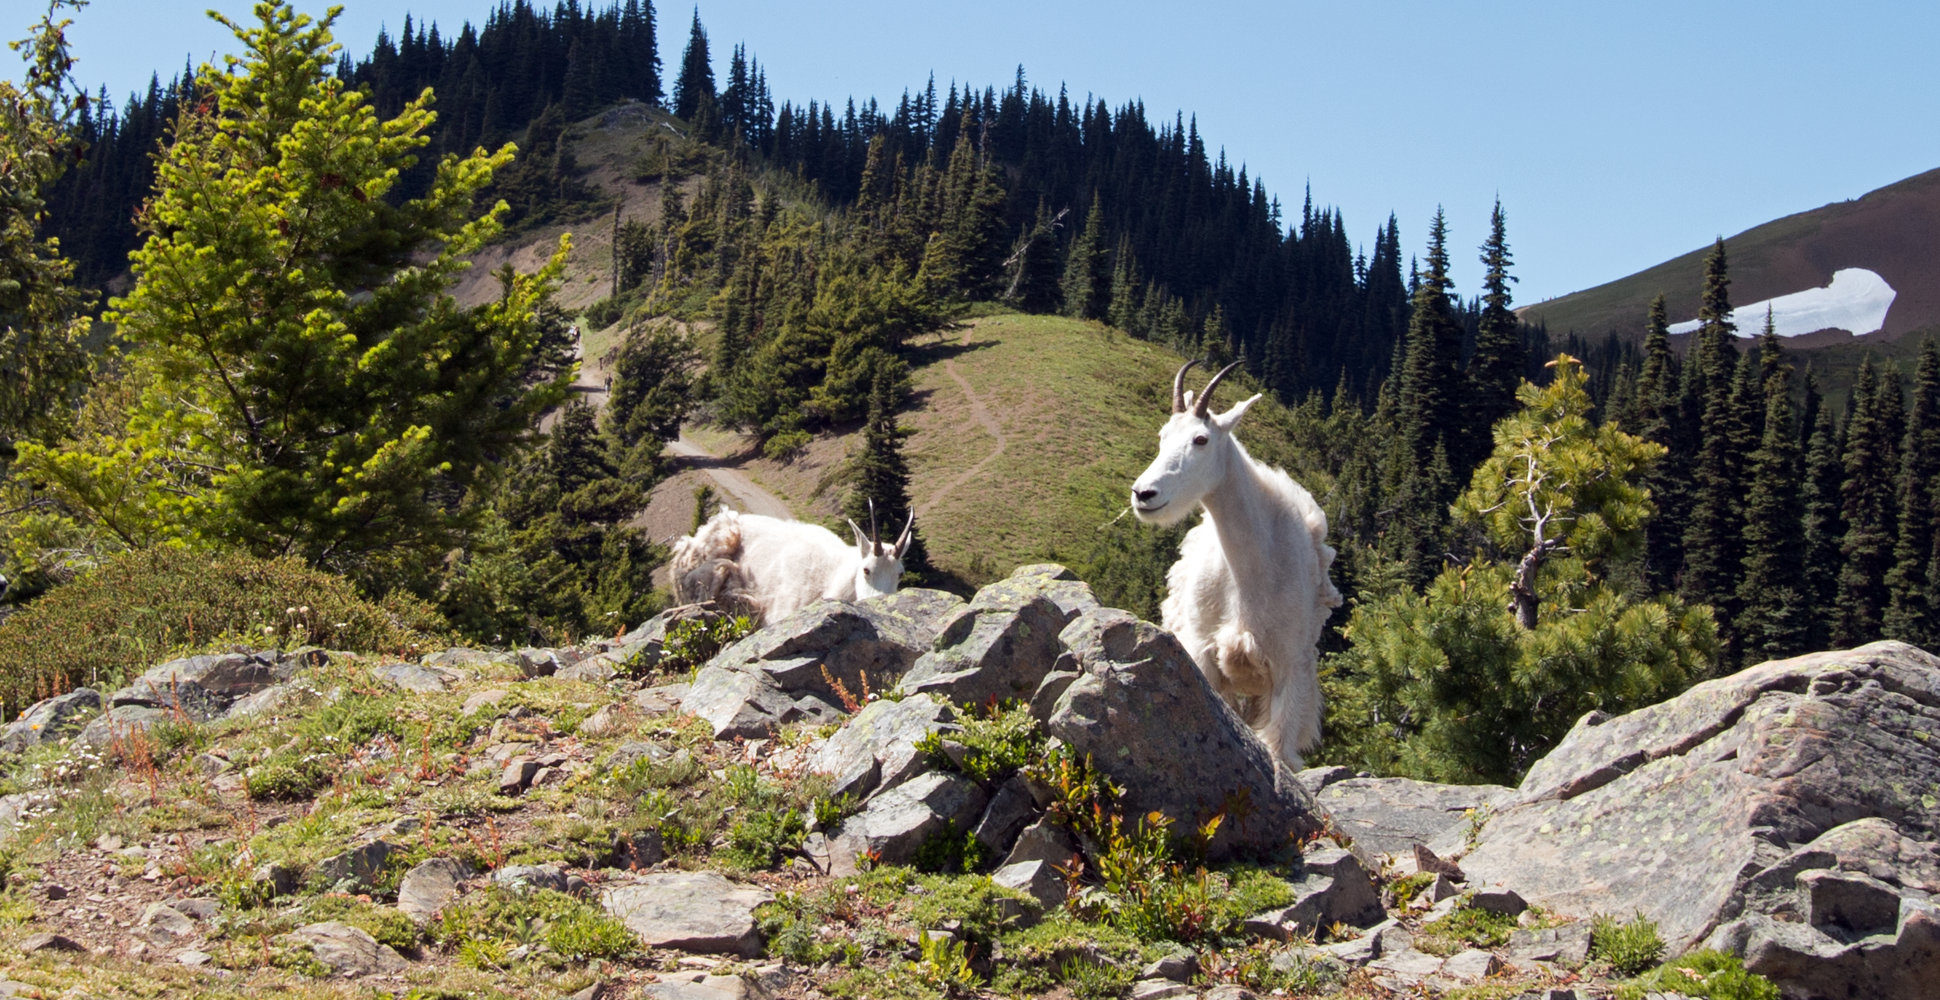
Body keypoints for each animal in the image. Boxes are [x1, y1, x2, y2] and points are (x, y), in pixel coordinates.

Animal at [1131, 360, 1342, 766]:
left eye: (1201, 439)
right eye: (1163, 436)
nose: (1143, 494)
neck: (1251, 570)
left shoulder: (1288, 666)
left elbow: (1279, 748)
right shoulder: (1204, 655)